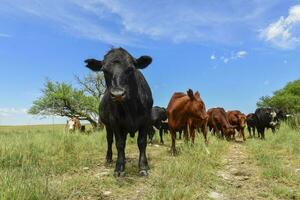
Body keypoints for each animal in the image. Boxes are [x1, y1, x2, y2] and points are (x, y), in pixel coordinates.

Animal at [85, 47, 154, 176]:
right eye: (104, 70)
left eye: (131, 68)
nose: (117, 94)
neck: (131, 107)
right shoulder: (115, 122)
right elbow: (119, 143)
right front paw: (119, 168)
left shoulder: (146, 121)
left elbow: (142, 142)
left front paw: (143, 167)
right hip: (108, 126)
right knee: (110, 140)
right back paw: (109, 158)